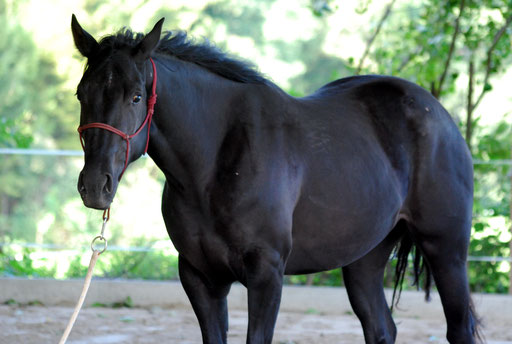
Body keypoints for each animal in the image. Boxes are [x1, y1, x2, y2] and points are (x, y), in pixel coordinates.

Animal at [71, 14, 480, 342]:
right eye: (81, 94)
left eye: (136, 97)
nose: (95, 186)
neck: (214, 162)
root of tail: (438, 113)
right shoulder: (200, 278)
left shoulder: (266, 274)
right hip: (365, 260)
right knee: (381, 328)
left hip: (447, 250)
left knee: (459, 328)